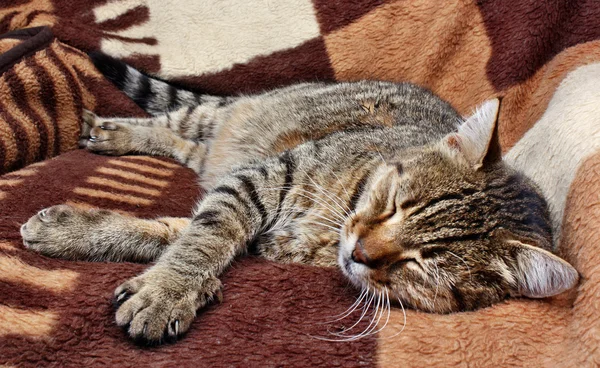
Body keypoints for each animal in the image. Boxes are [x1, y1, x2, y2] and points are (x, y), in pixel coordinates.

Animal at [19, 53, 576, 344]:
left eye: (419, 265)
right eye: (395, 201)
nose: (359, 251)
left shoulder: (262, 230)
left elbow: (178, 232)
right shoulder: (262, 179)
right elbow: (203, 236)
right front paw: (169, 289)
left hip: (216, 153)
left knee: (185, 146)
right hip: (225, 122)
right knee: (175, 122)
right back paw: (111, 130)